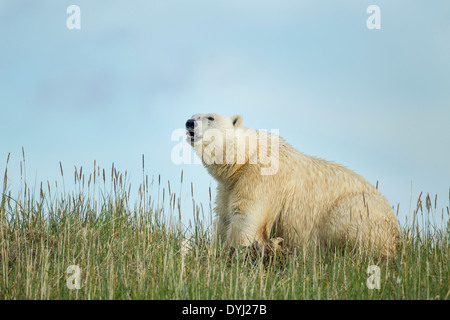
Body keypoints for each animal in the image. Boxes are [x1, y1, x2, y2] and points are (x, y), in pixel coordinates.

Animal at [185, 112, 400, 258]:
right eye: (194, 115)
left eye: (210, 117)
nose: (189, 123)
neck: (246, 158)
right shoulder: (228, 186)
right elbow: (224, 218)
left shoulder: (261, 177)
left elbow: (247, 216)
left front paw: (235, 251)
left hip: (358, 210)